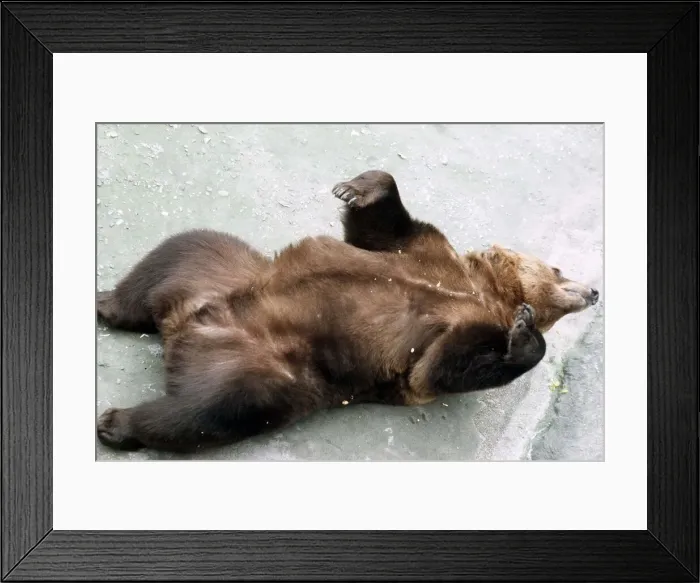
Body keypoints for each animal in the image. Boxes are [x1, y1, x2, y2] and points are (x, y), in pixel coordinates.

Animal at [96, 170, 599, 453]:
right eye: (557, 268)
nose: (594, 290)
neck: (486, 292)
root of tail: (183, 324)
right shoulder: (427, 252)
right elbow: (385, 227)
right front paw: (355, 187)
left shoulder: (434, 353)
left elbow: (447, 367)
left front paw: (524, 336)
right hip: (222, 267)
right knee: (178, 249)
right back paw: (106, 303)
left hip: (267, 366)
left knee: (214, 410)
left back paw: (117, 423)